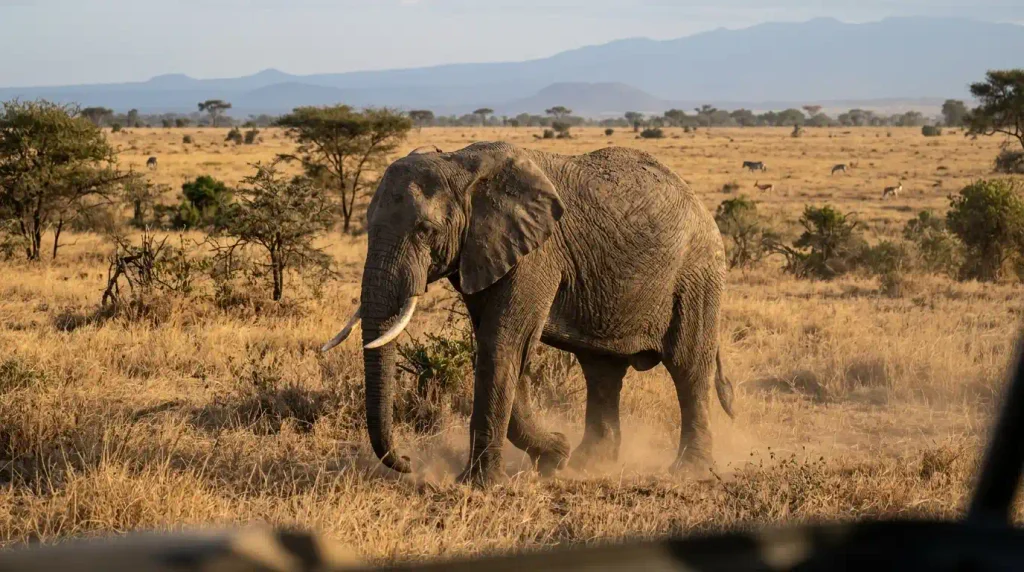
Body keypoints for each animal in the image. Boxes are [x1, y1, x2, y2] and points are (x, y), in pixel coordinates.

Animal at [322, 141, 735, 488]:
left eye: (426, 230)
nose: (407, 461)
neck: (460, 163)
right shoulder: (483, 252)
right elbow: (502, 347)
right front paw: (555, 456)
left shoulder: (537, 254)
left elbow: (504, 345)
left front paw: (478, 486)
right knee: (601, 371)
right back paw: (589, 463)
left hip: (697, 275)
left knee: (688, 368)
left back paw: (689, 471)